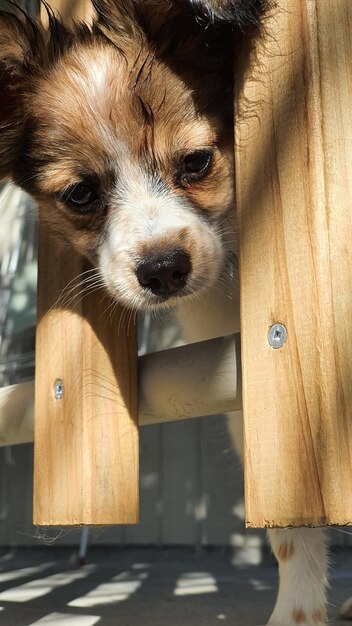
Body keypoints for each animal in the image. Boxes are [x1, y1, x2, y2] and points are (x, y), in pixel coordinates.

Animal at [0, 1, 346, 624]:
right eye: (80, 195)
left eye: (197, 161)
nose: (162, 270)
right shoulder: (253, 406)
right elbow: (290, 524)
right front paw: (297, 611)